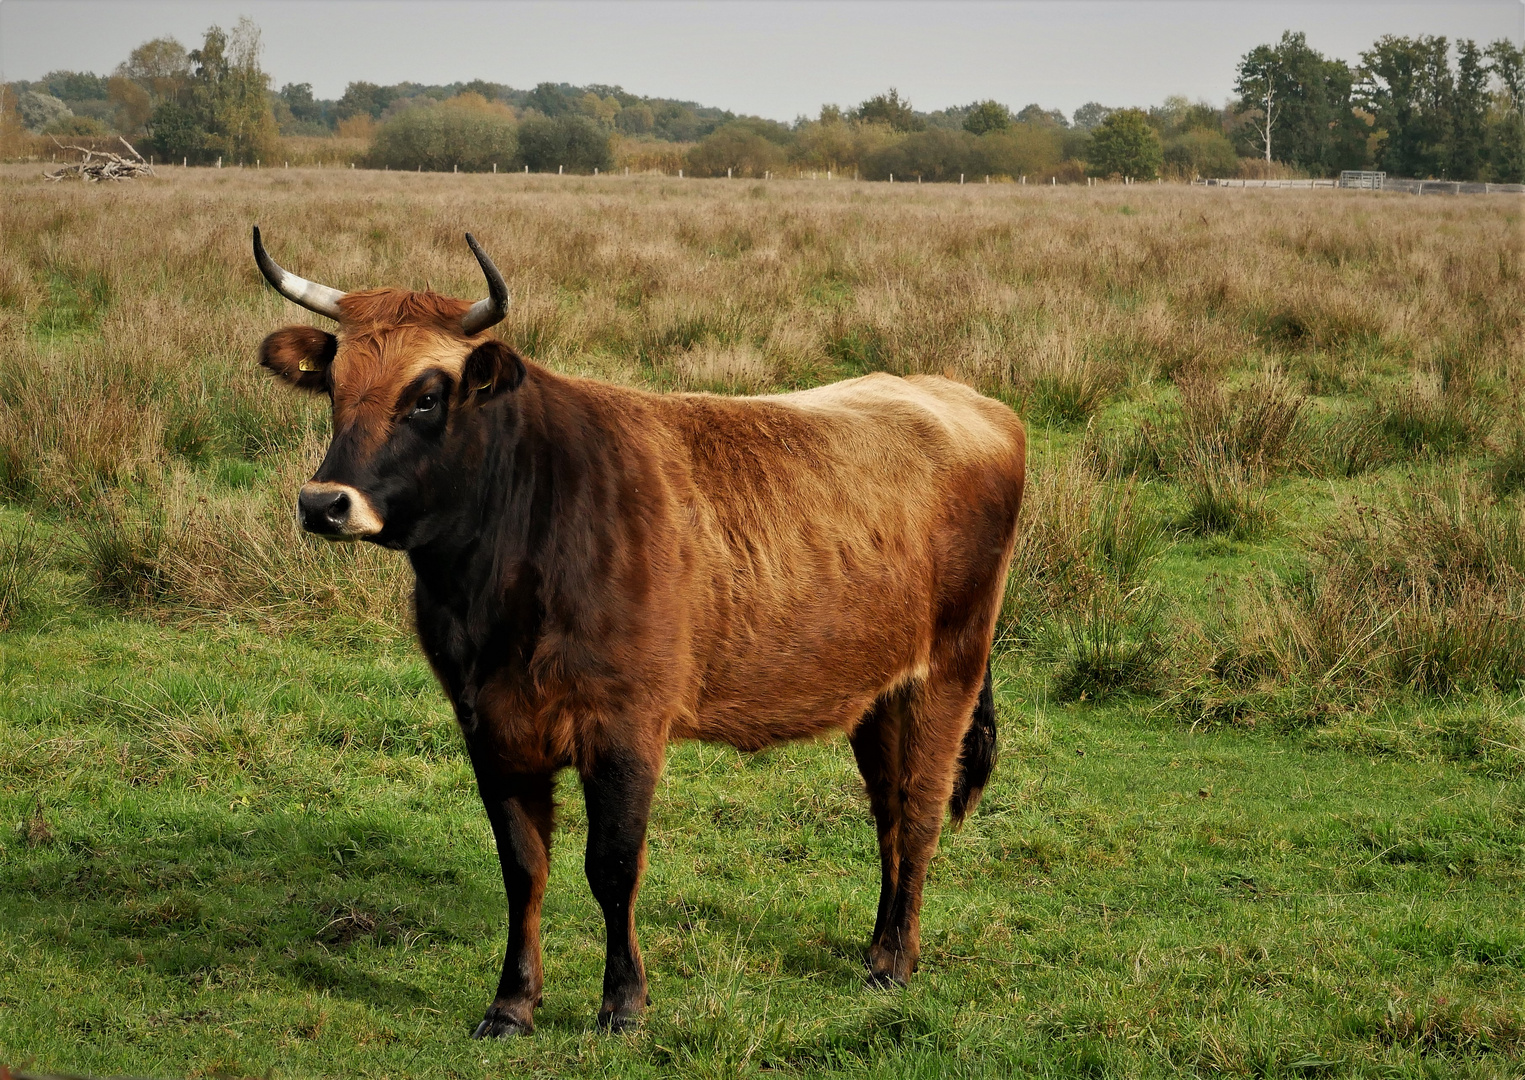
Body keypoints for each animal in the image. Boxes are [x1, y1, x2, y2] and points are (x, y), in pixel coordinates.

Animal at [253, 227, 1024, 1037]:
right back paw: (877, 946)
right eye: (334, 387)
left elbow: (613, 866)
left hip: (947, 674)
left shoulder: (625, 727)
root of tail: (961, 397)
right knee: (888, 815)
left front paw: (622, 1002)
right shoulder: (489, 726)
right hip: (877, 697)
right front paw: (512, 1002)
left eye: (427, 395)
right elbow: (523, 867)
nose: (324, 503)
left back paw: (894, 962)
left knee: (919, 810)